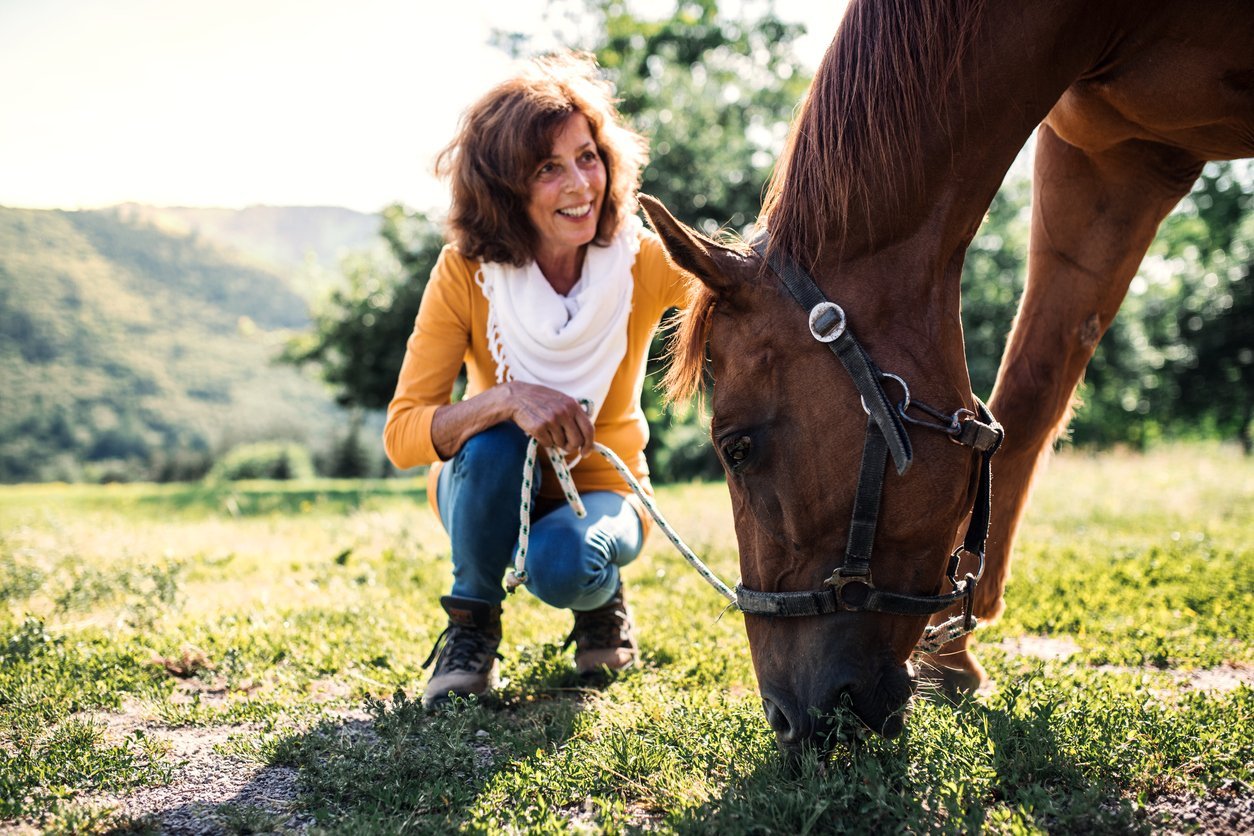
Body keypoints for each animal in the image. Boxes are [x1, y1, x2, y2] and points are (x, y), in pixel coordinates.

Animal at [642, 0, 1248, 752]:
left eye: (738, 448)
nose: (783, 718)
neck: (1105, 23)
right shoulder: (1115, 158)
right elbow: (1029, 392)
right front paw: (951, 655)